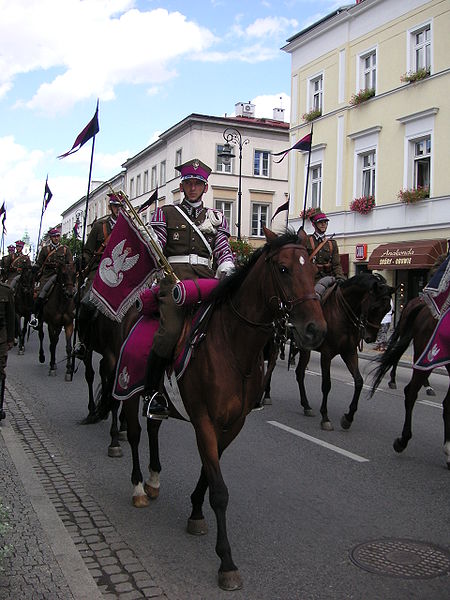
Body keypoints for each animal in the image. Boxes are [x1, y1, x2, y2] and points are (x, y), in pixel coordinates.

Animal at [118, 229, 326, 592]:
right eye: (284, 269)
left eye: (314, 270)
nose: (316, 329)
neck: (233, 345)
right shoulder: (204, 421)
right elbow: (219, 490)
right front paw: (226, 561)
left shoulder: (233, 424)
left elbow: (208, 472)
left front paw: (195, 513)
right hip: (130, 391)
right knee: (134, 434)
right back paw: (139, 487)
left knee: (154, 427)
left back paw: (155, 480)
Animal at [292, 272, 394, 432]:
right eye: (374, 307)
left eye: (389, 308)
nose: (371, 337)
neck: (341, 313)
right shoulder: (326, 354)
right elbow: (326, 384)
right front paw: (325, 418)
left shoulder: (350, 352)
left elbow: (359, 382)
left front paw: (348, 418)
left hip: (305, 349)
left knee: (299, 373)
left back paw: (306, 406)